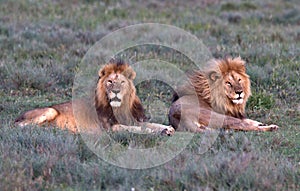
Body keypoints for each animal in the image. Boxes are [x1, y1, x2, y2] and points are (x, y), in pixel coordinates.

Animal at [15, 60, 175, 136]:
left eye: (122, 82)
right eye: (110, 81)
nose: (116, 91)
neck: (120, 107)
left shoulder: (134, 119)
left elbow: (152, 124)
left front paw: (167, 129)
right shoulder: (112, 128)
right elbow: (136, 129)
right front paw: (153, 132)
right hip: (50, 111)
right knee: (21, 126)